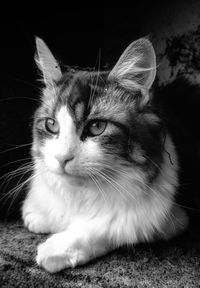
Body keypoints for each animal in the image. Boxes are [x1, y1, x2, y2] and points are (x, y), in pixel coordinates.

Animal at [22, 36, 189, 272]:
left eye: (97, 127)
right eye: (51, 124)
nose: (62, 158)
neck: (82, 193)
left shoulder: (166, 217)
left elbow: (109, 227)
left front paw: (57, 249)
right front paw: (40, 215)